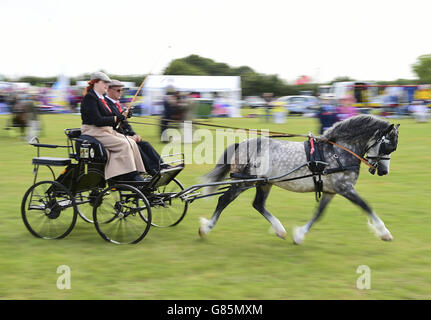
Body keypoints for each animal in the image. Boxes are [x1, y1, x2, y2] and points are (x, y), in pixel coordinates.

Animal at [201, 115, 400, 245]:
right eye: (388, 147)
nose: (383, 171)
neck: (337, 152)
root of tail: (240, 145)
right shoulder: (345, 188)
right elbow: (366, 206)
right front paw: (385, 233)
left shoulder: (330, 191)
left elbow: (319, 213)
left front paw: (299, 235)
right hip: (244, 182)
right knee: (224, 199)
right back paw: (206, 228)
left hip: (264, 183)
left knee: (258, 204)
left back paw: (280, 230)